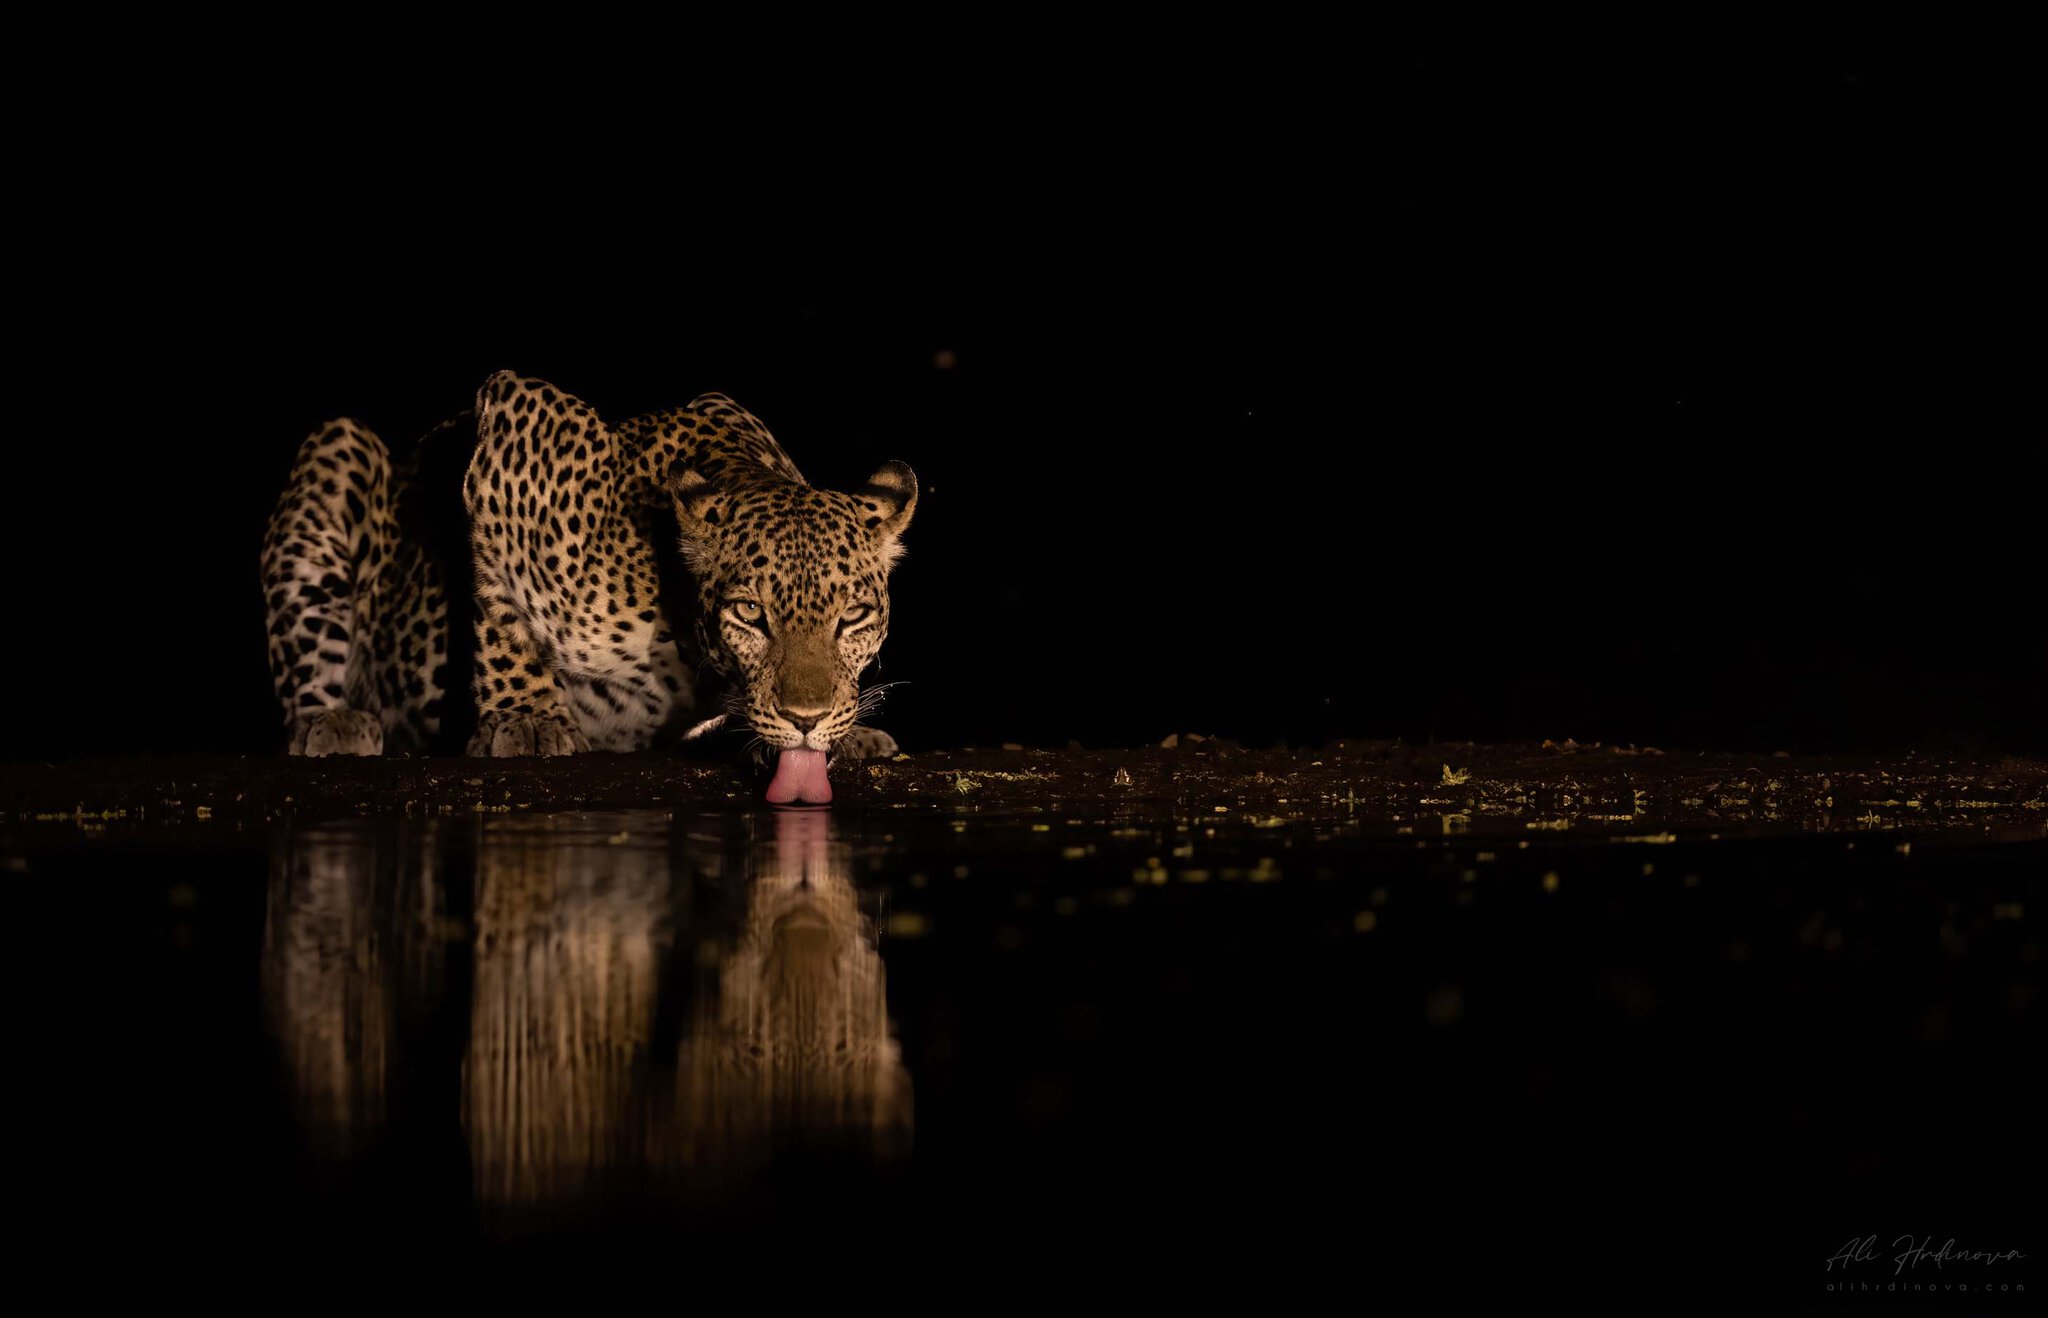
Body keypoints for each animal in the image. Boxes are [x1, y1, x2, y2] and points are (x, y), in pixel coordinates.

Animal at [260, 371, 916, 799]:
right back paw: (332, 721)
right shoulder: (507, 438)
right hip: (334, 451)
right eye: (750, 614)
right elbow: (503, 616)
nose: (806, 718)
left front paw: (846, 734)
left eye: (853, 617)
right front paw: (525, 718)